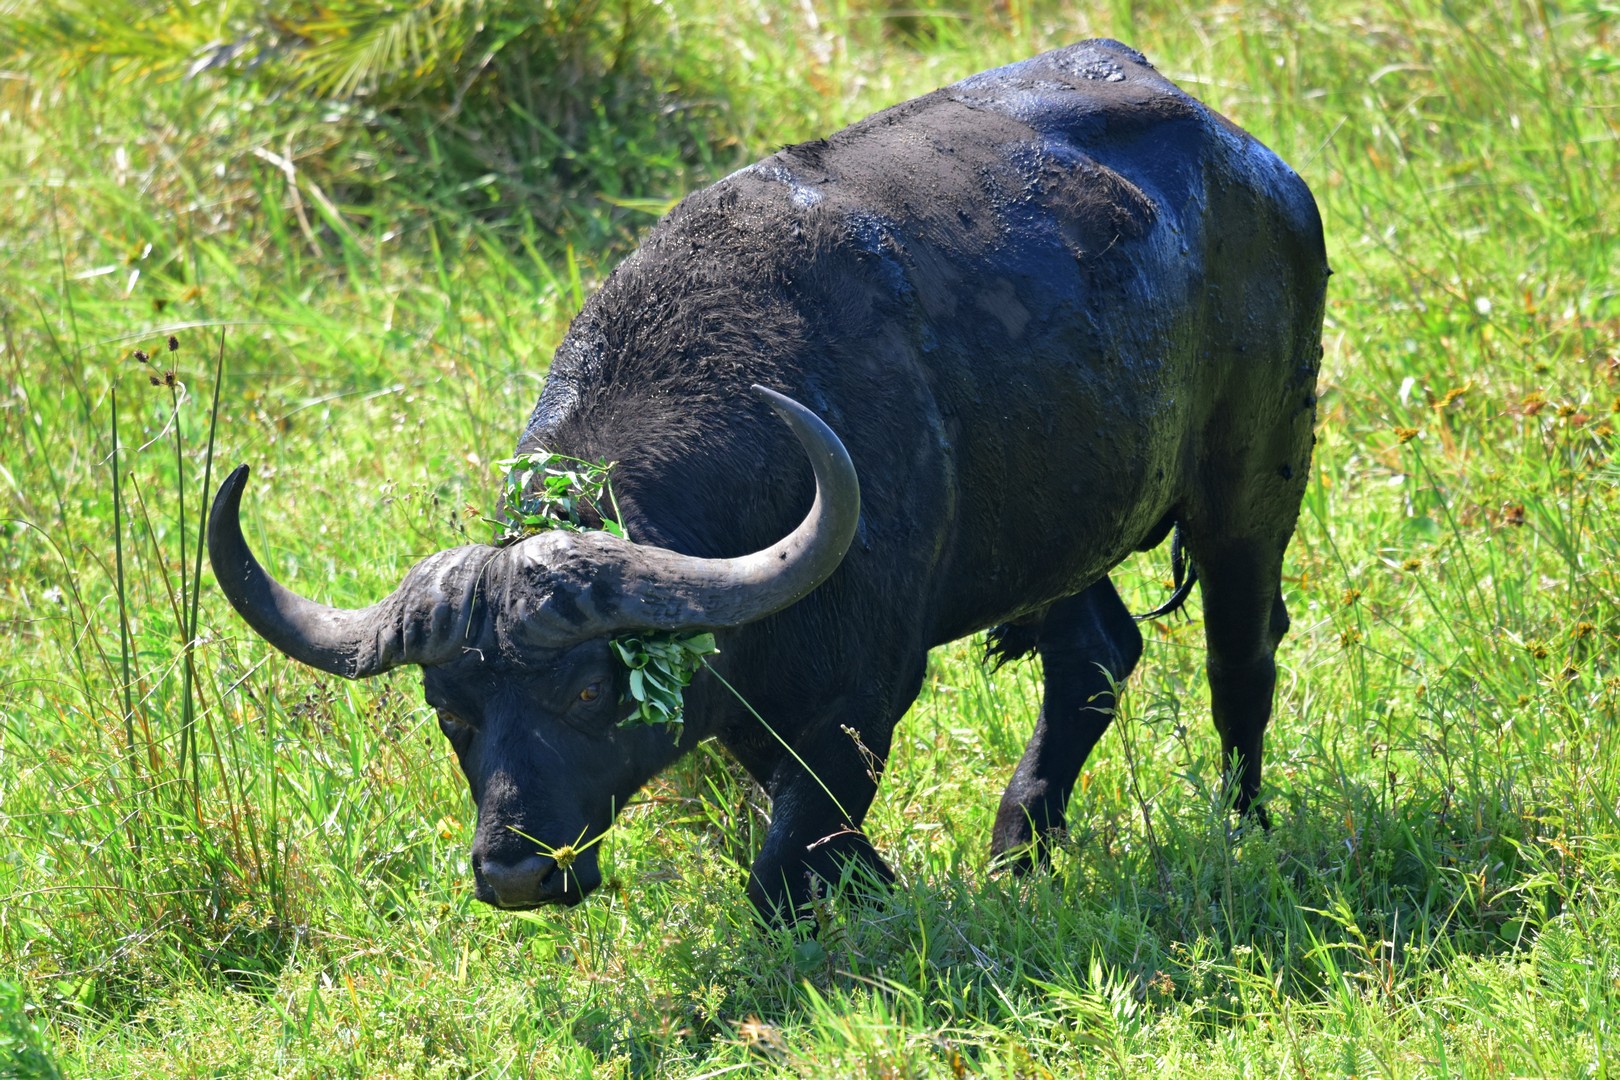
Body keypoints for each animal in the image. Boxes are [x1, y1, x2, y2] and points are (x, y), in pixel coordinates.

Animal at [208, 40, 1328, 919]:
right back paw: (1018, 854)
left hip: (1256, 489)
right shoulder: (757, 698)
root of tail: (1255, 163)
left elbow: (782, 870)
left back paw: (1242, 826)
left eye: (588, 687)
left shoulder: (864, 690)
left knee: (1241, 660)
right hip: (1058, 534)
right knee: (1094, 656)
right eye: (450, 709)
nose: (514, 872)